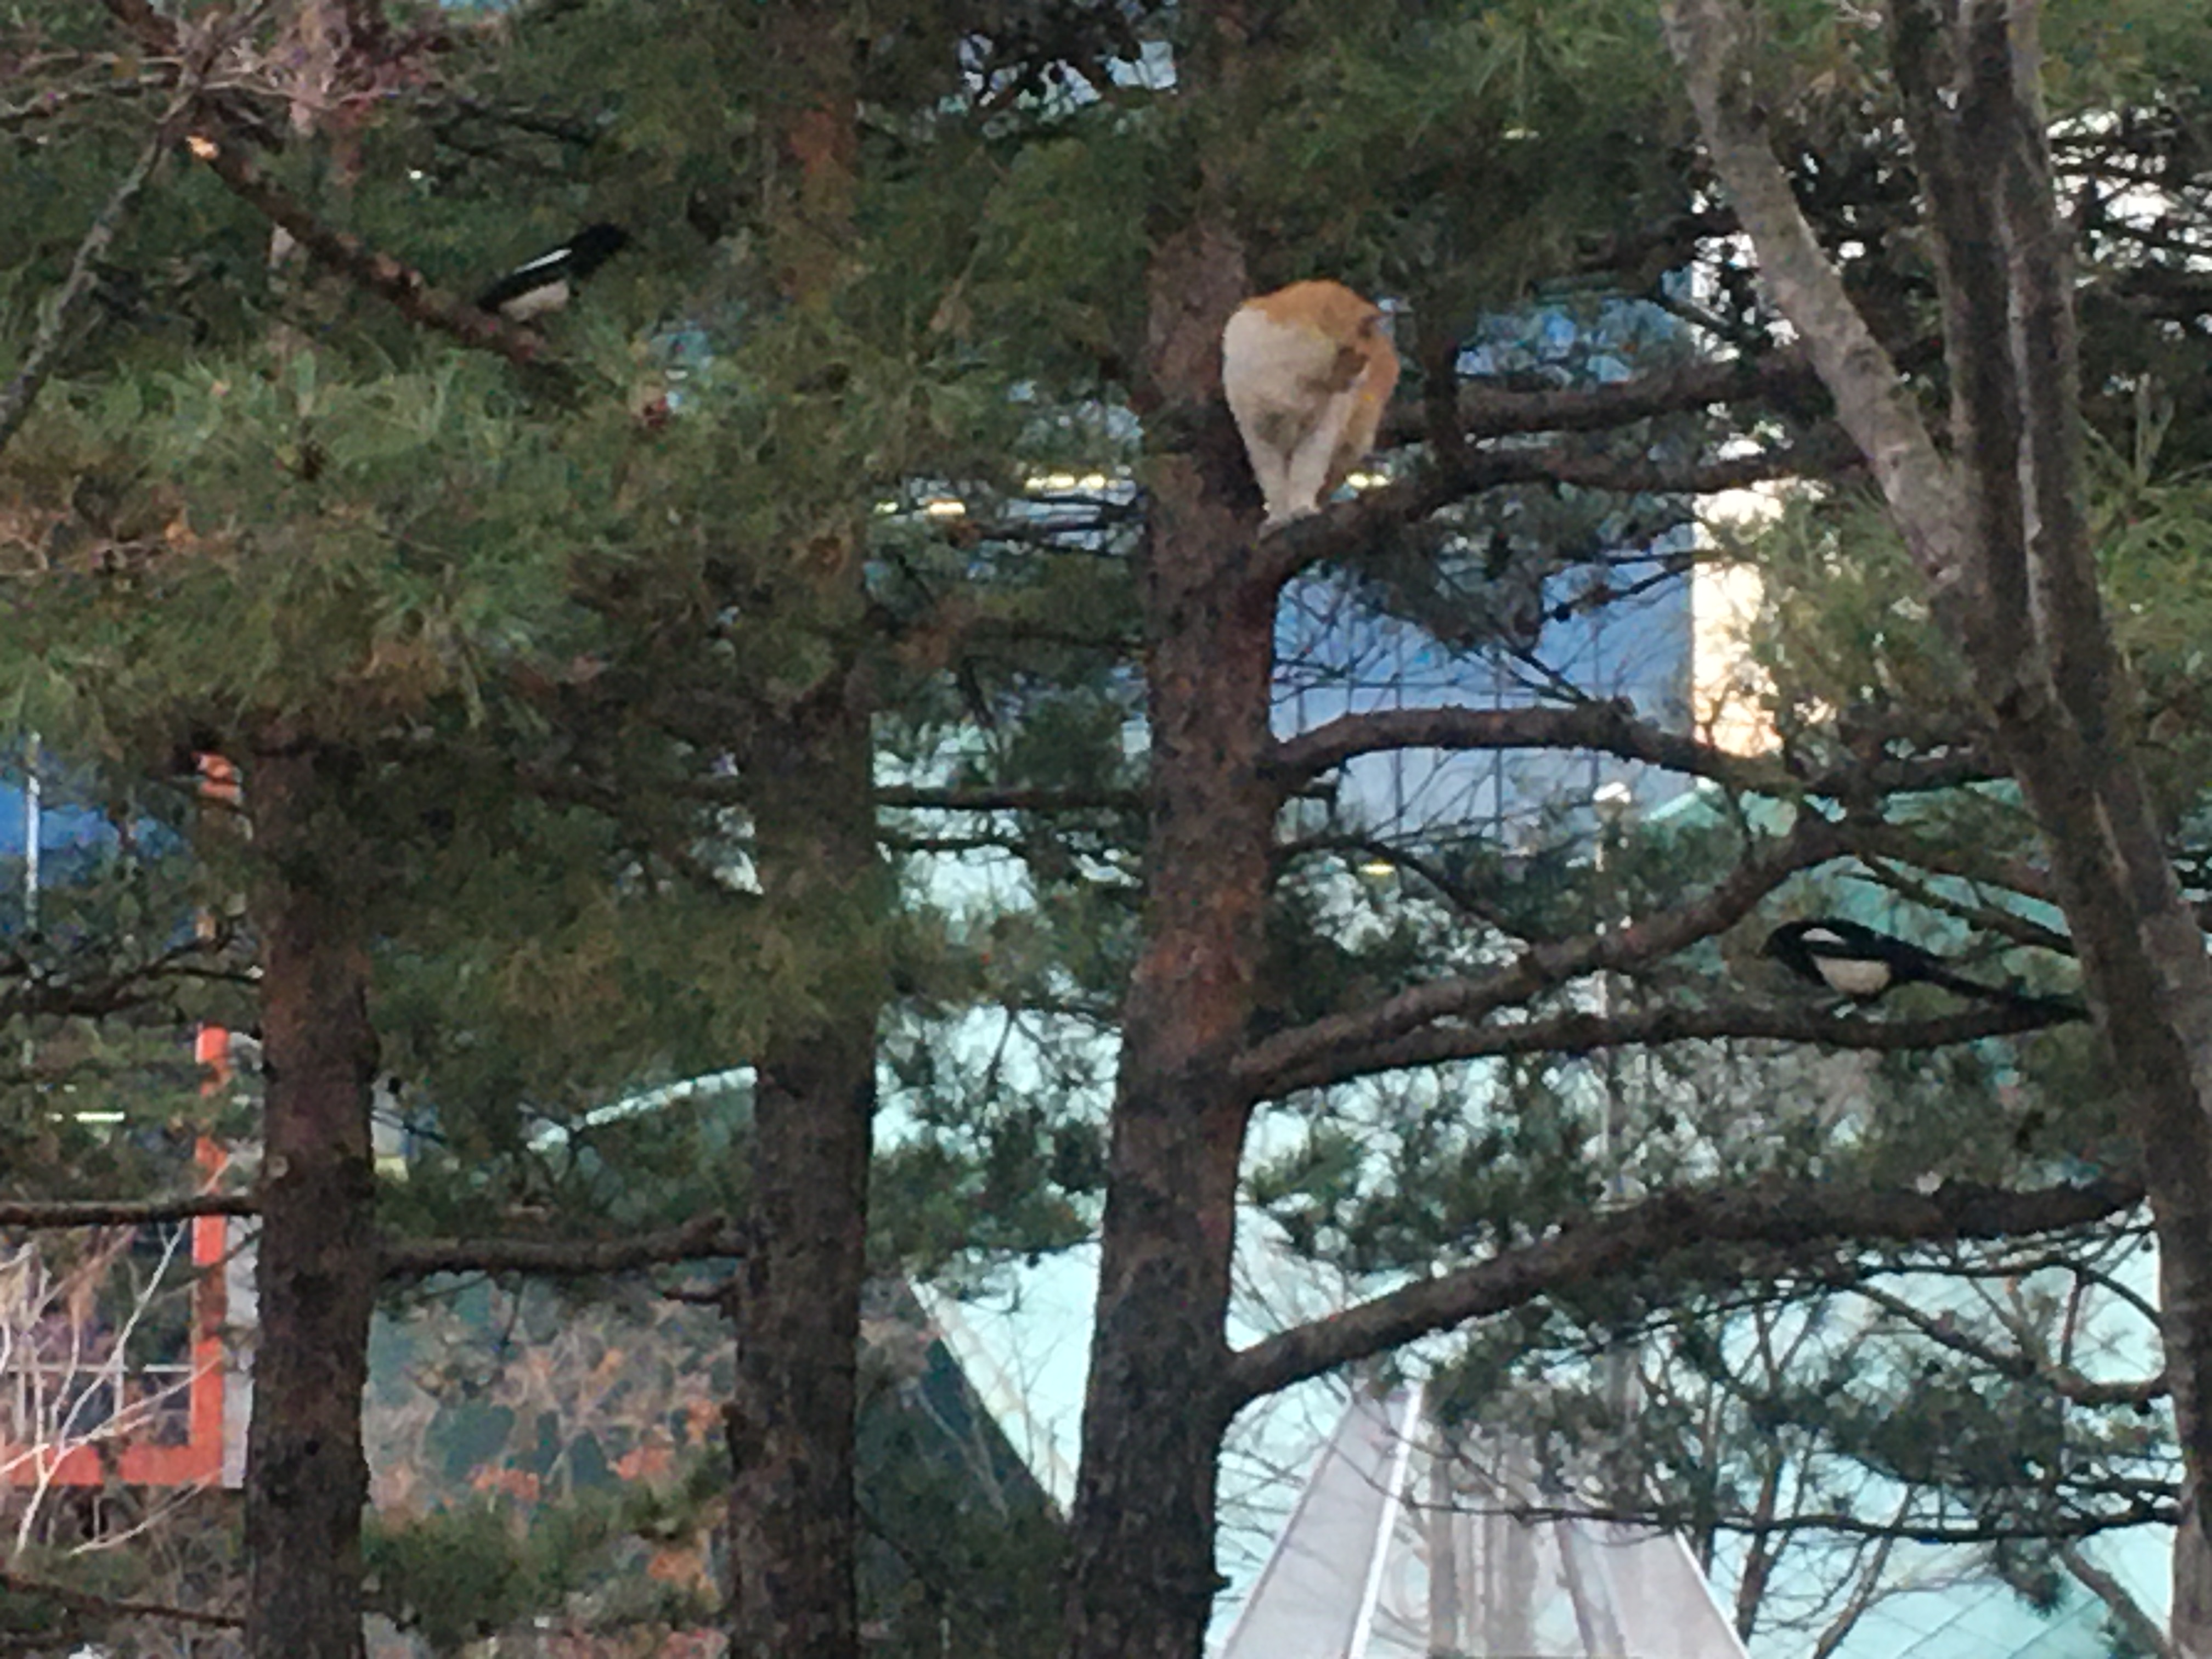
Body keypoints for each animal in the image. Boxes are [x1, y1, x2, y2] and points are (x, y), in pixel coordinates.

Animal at [1221, 280, 1389, 526]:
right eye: (1360, 361)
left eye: (1367, 362)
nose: (1360, 382)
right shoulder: (1257, 434)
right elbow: (1273, 481)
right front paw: (1279, 519)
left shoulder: (1320, 430)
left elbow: (1306, 472)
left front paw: (1302, 509)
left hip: (1352, 443)